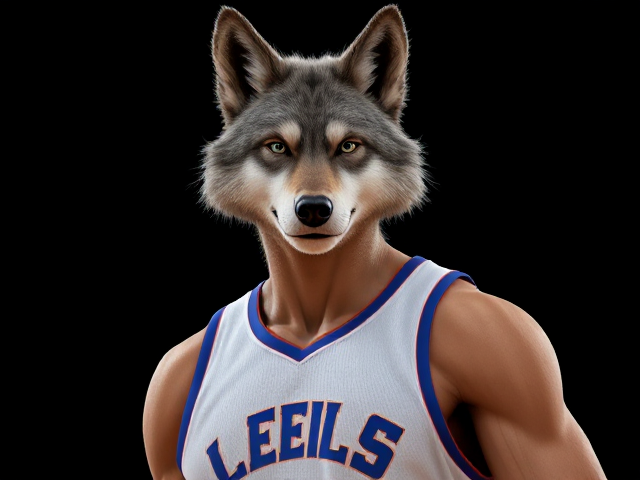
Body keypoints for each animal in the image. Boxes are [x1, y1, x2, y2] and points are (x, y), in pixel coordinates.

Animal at [143, 5, 607, 480]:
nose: (314, 209)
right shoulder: (168, 381)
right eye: (277, 147)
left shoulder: (507, 344)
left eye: (348, 146)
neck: (314, 313)